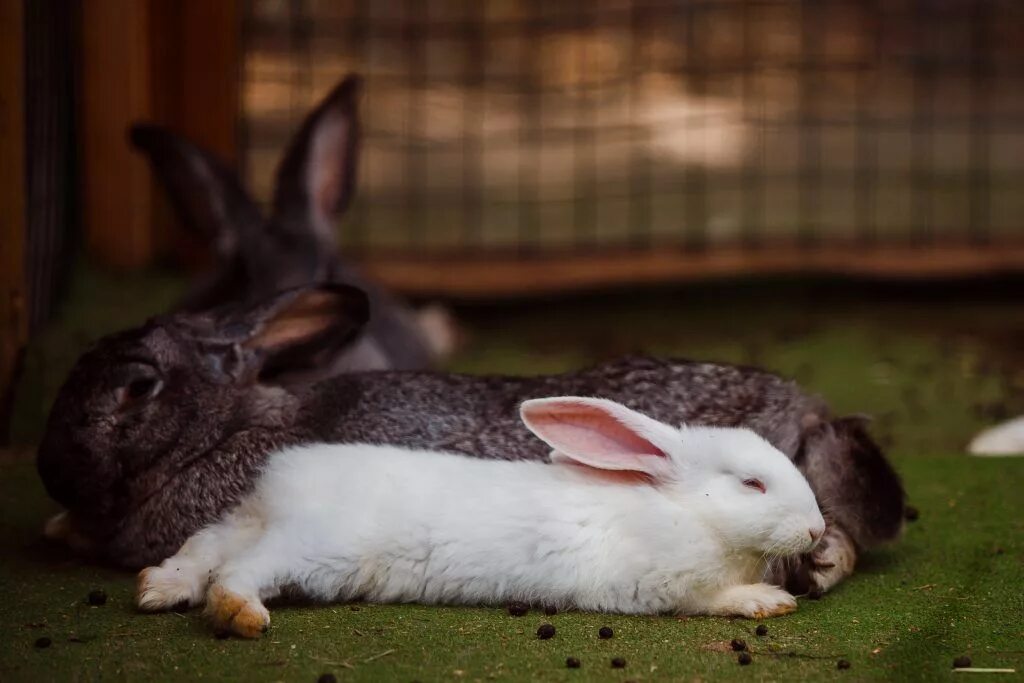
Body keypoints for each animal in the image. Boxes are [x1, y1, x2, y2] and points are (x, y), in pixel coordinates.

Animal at [138, 397, 823, 638]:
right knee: (237, 572)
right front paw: (764, 600)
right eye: (752, 484)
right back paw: (242, 615)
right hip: (314, 551)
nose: (817, 529)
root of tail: (283, 485)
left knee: (205, 548)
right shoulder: (658, 585)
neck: (688, 513)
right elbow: (708, 599)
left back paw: (159, 588)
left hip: (252, 524)